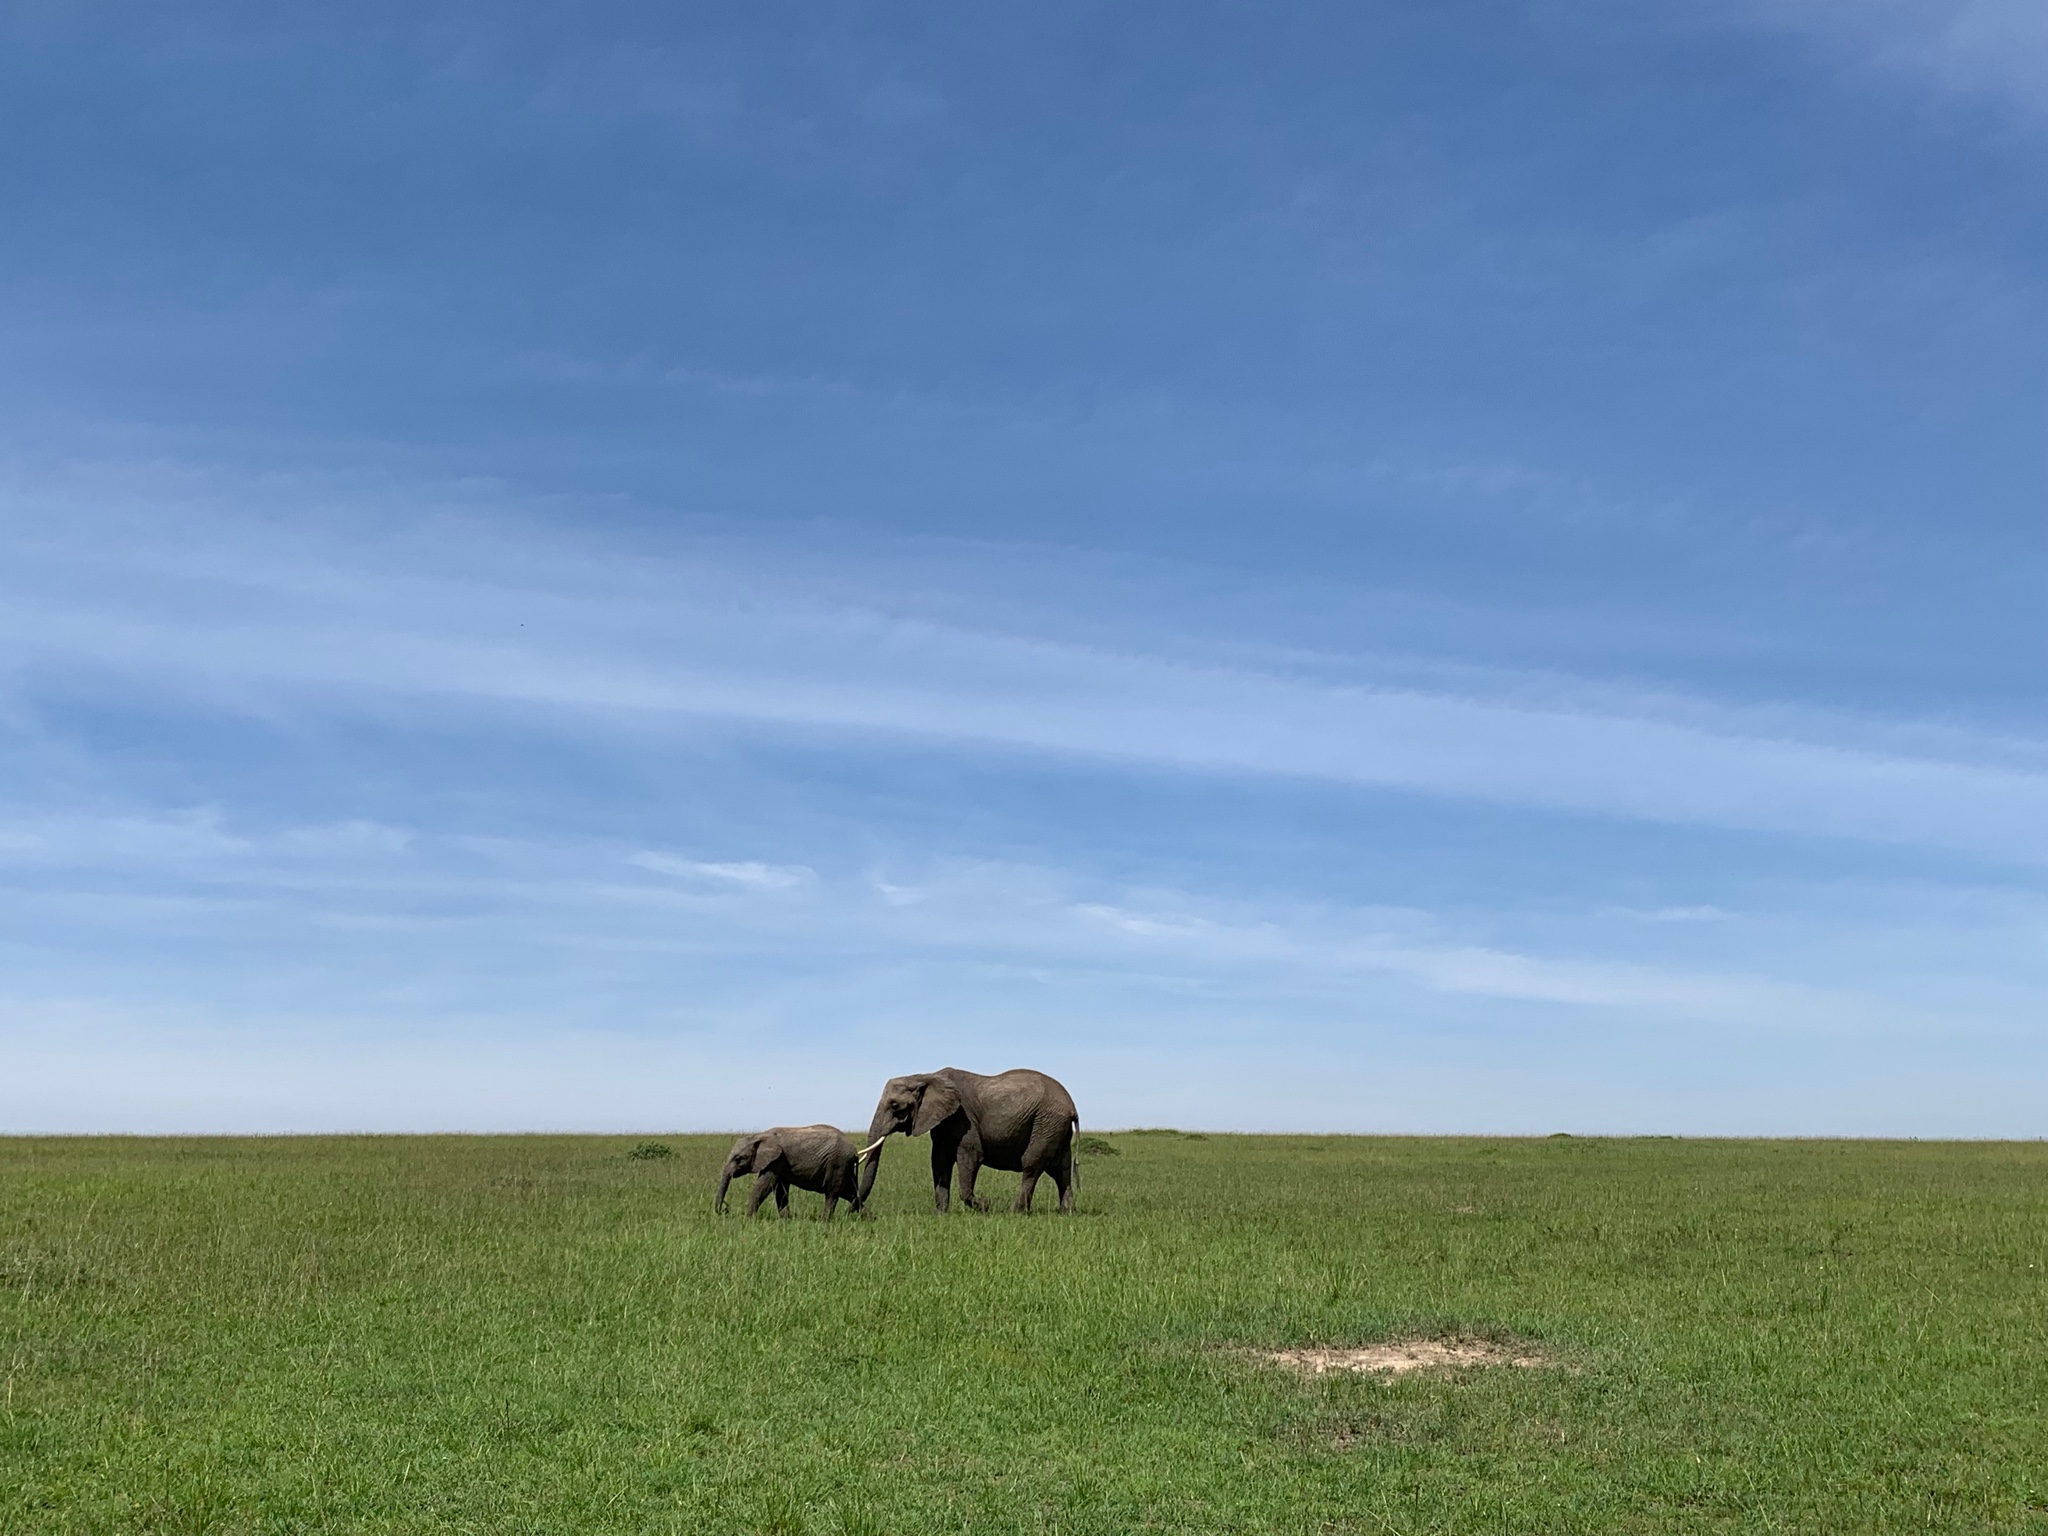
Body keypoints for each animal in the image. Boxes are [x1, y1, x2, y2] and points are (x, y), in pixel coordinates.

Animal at [716, 1122, 860, 1220]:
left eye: (738, 1159)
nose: (725, 1210)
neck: (760, 1135)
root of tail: (854, 1151)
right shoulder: (779, 1162)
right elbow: (780, 1190)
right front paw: (785, 1220)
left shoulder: (777, 1160)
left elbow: (764, 1186)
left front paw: (747, 1219)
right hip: (844, 1166)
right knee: (850, 1193)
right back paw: (864, 1219)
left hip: (837, 1163)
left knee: (832, 1193)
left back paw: (824, 1221)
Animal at [851, 1073, 1081, 1212]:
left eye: (894, 1105)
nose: (855, 1210)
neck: (924, 1076)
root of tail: (1072, 1106)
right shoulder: (942, 1123)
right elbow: (939, 1161)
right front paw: (940, 1213)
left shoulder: (963, 1118)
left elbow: (971, 1156)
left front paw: (985, 1205)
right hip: (1056, 1127)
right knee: (1061, 1170)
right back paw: (1066, 1212)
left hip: (1046, 1123)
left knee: (1031, 1165)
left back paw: (1015, 1212)